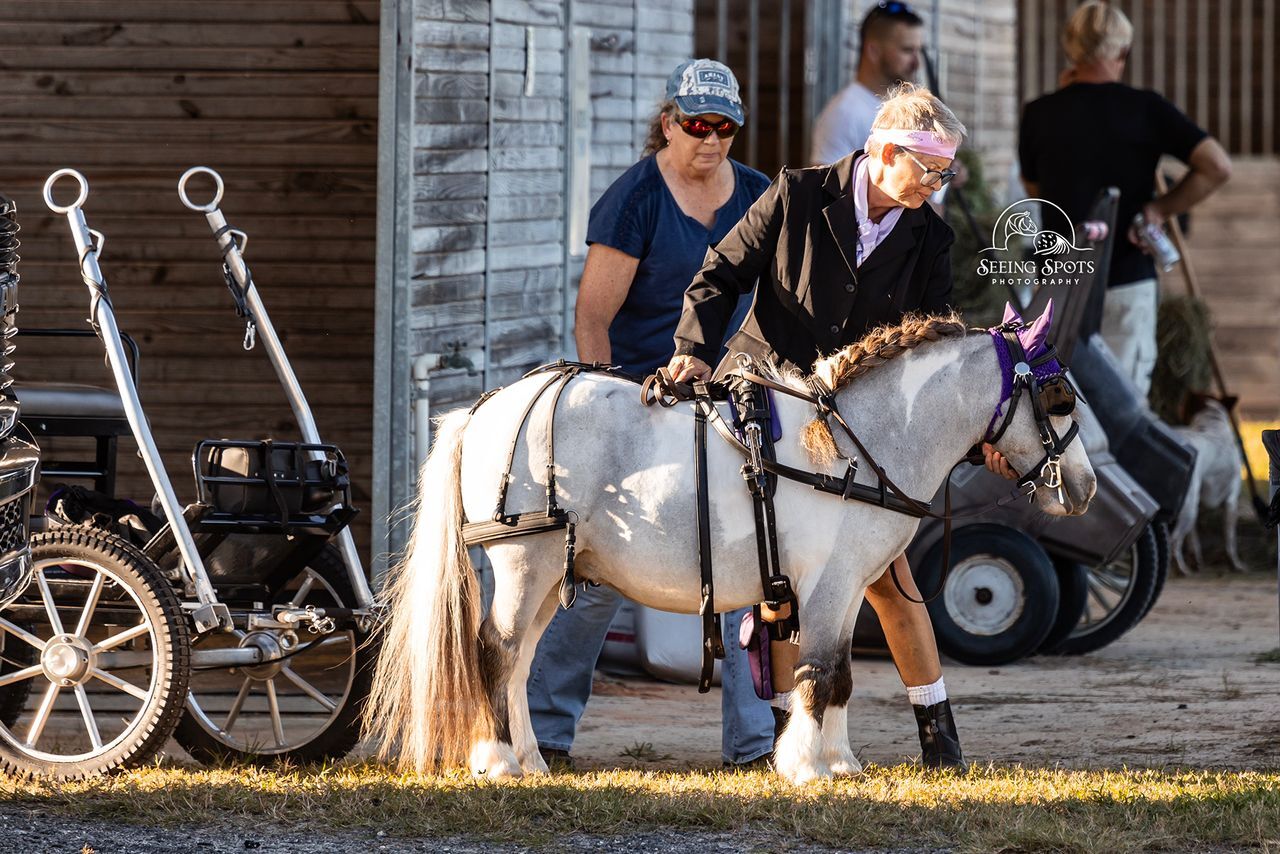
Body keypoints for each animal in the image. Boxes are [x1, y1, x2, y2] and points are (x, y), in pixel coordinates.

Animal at [363, 303, 1097, 784]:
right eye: (1061, 398)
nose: (1086, 487)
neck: (853, 444)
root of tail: (485, 410)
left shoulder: (848, 587)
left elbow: (841, 674)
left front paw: (838, 762)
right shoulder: (827, 583)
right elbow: (820, 672)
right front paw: (808, 767)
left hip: (551, 572)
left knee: (517, 662)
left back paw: (531, 760)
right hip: (525, 562)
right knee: (496, 650)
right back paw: (495, 763)